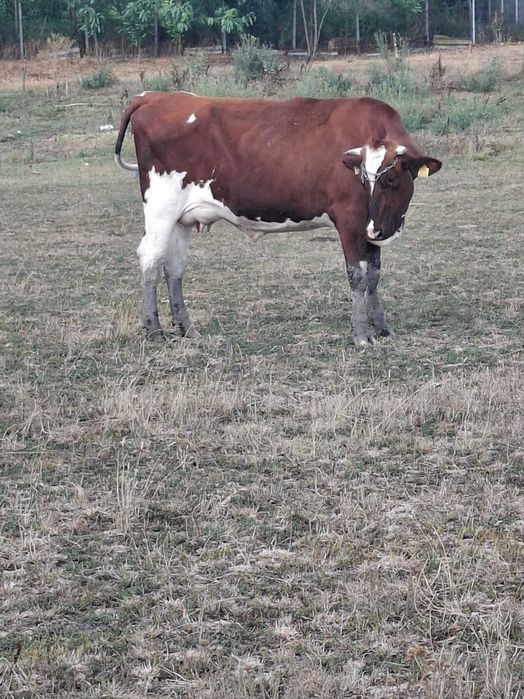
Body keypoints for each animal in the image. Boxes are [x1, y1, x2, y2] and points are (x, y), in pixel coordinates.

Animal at [114, 92, 441, 346]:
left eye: (390, 180)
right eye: (363, 179)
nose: (379, 229)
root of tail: (154, 96)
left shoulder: (370, 228)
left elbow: (373, 275)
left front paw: (382, 327)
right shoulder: (351, 221)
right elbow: (358, 276)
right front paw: (361, 334)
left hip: (182, 219)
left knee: (174, 266)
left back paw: (186, 328)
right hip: (161, 208)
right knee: (151, 257)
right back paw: (153, 329)